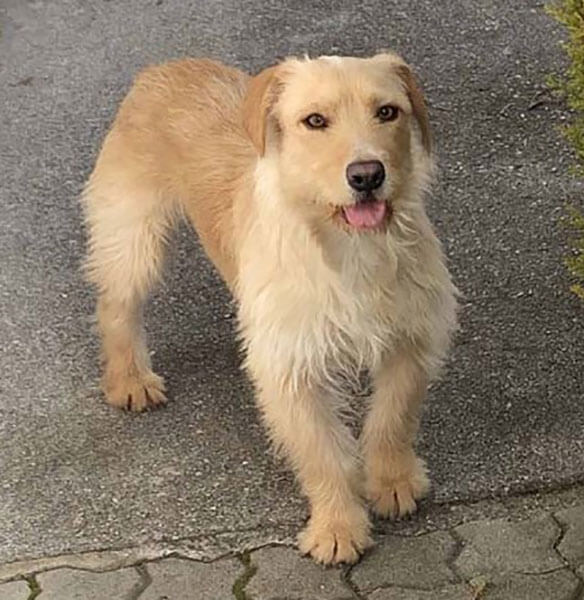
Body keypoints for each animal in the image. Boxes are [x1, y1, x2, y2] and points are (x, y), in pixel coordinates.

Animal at [82, 53, 458, 565]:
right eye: (314, 121)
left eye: (387, 112)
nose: (367, 175)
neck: (349, 248)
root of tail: (168, 65)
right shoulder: (292, 370)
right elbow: (324, 453)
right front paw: (337, 526)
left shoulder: (411, 341)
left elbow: (391, 419)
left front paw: (393, 481)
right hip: (132, 237)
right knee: (117, 306)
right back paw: (129, 379)